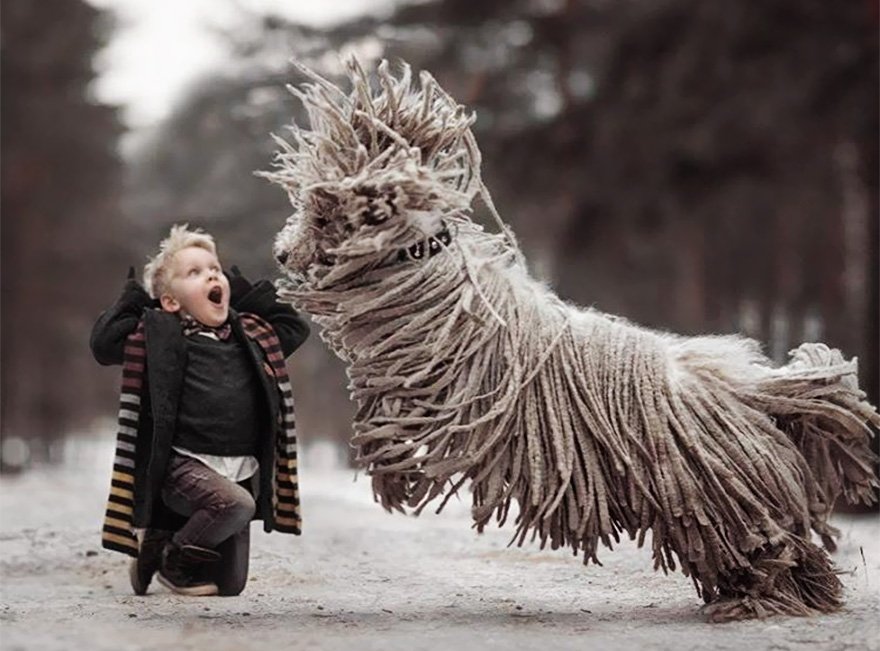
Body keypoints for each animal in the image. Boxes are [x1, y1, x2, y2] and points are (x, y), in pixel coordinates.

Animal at [262, 59, 880, 620]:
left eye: (321, 215)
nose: (281, 254)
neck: (423, 261)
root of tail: (750, 389)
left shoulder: (431, 383)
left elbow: (388, 421)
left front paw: (393, 478)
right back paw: (793, 592)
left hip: (715, 490)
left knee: (766, 542)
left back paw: (764, 597)